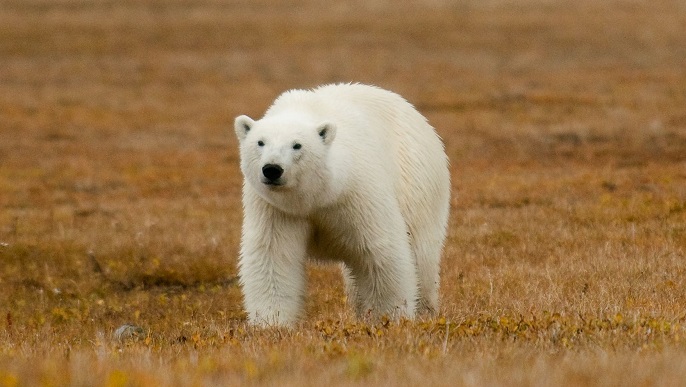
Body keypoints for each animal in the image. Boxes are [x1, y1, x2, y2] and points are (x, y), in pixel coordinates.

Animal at [236, 83, 452, 326]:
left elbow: (381, 253)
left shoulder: (358, 192)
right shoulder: (275, 209)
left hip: (417, 185)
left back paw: (425, 310)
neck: (320, 196)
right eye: (260, 142)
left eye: (297, 145)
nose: (272, 169)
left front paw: (389, 318)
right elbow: (273, 256)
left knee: (422, 254)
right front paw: (272, 323)